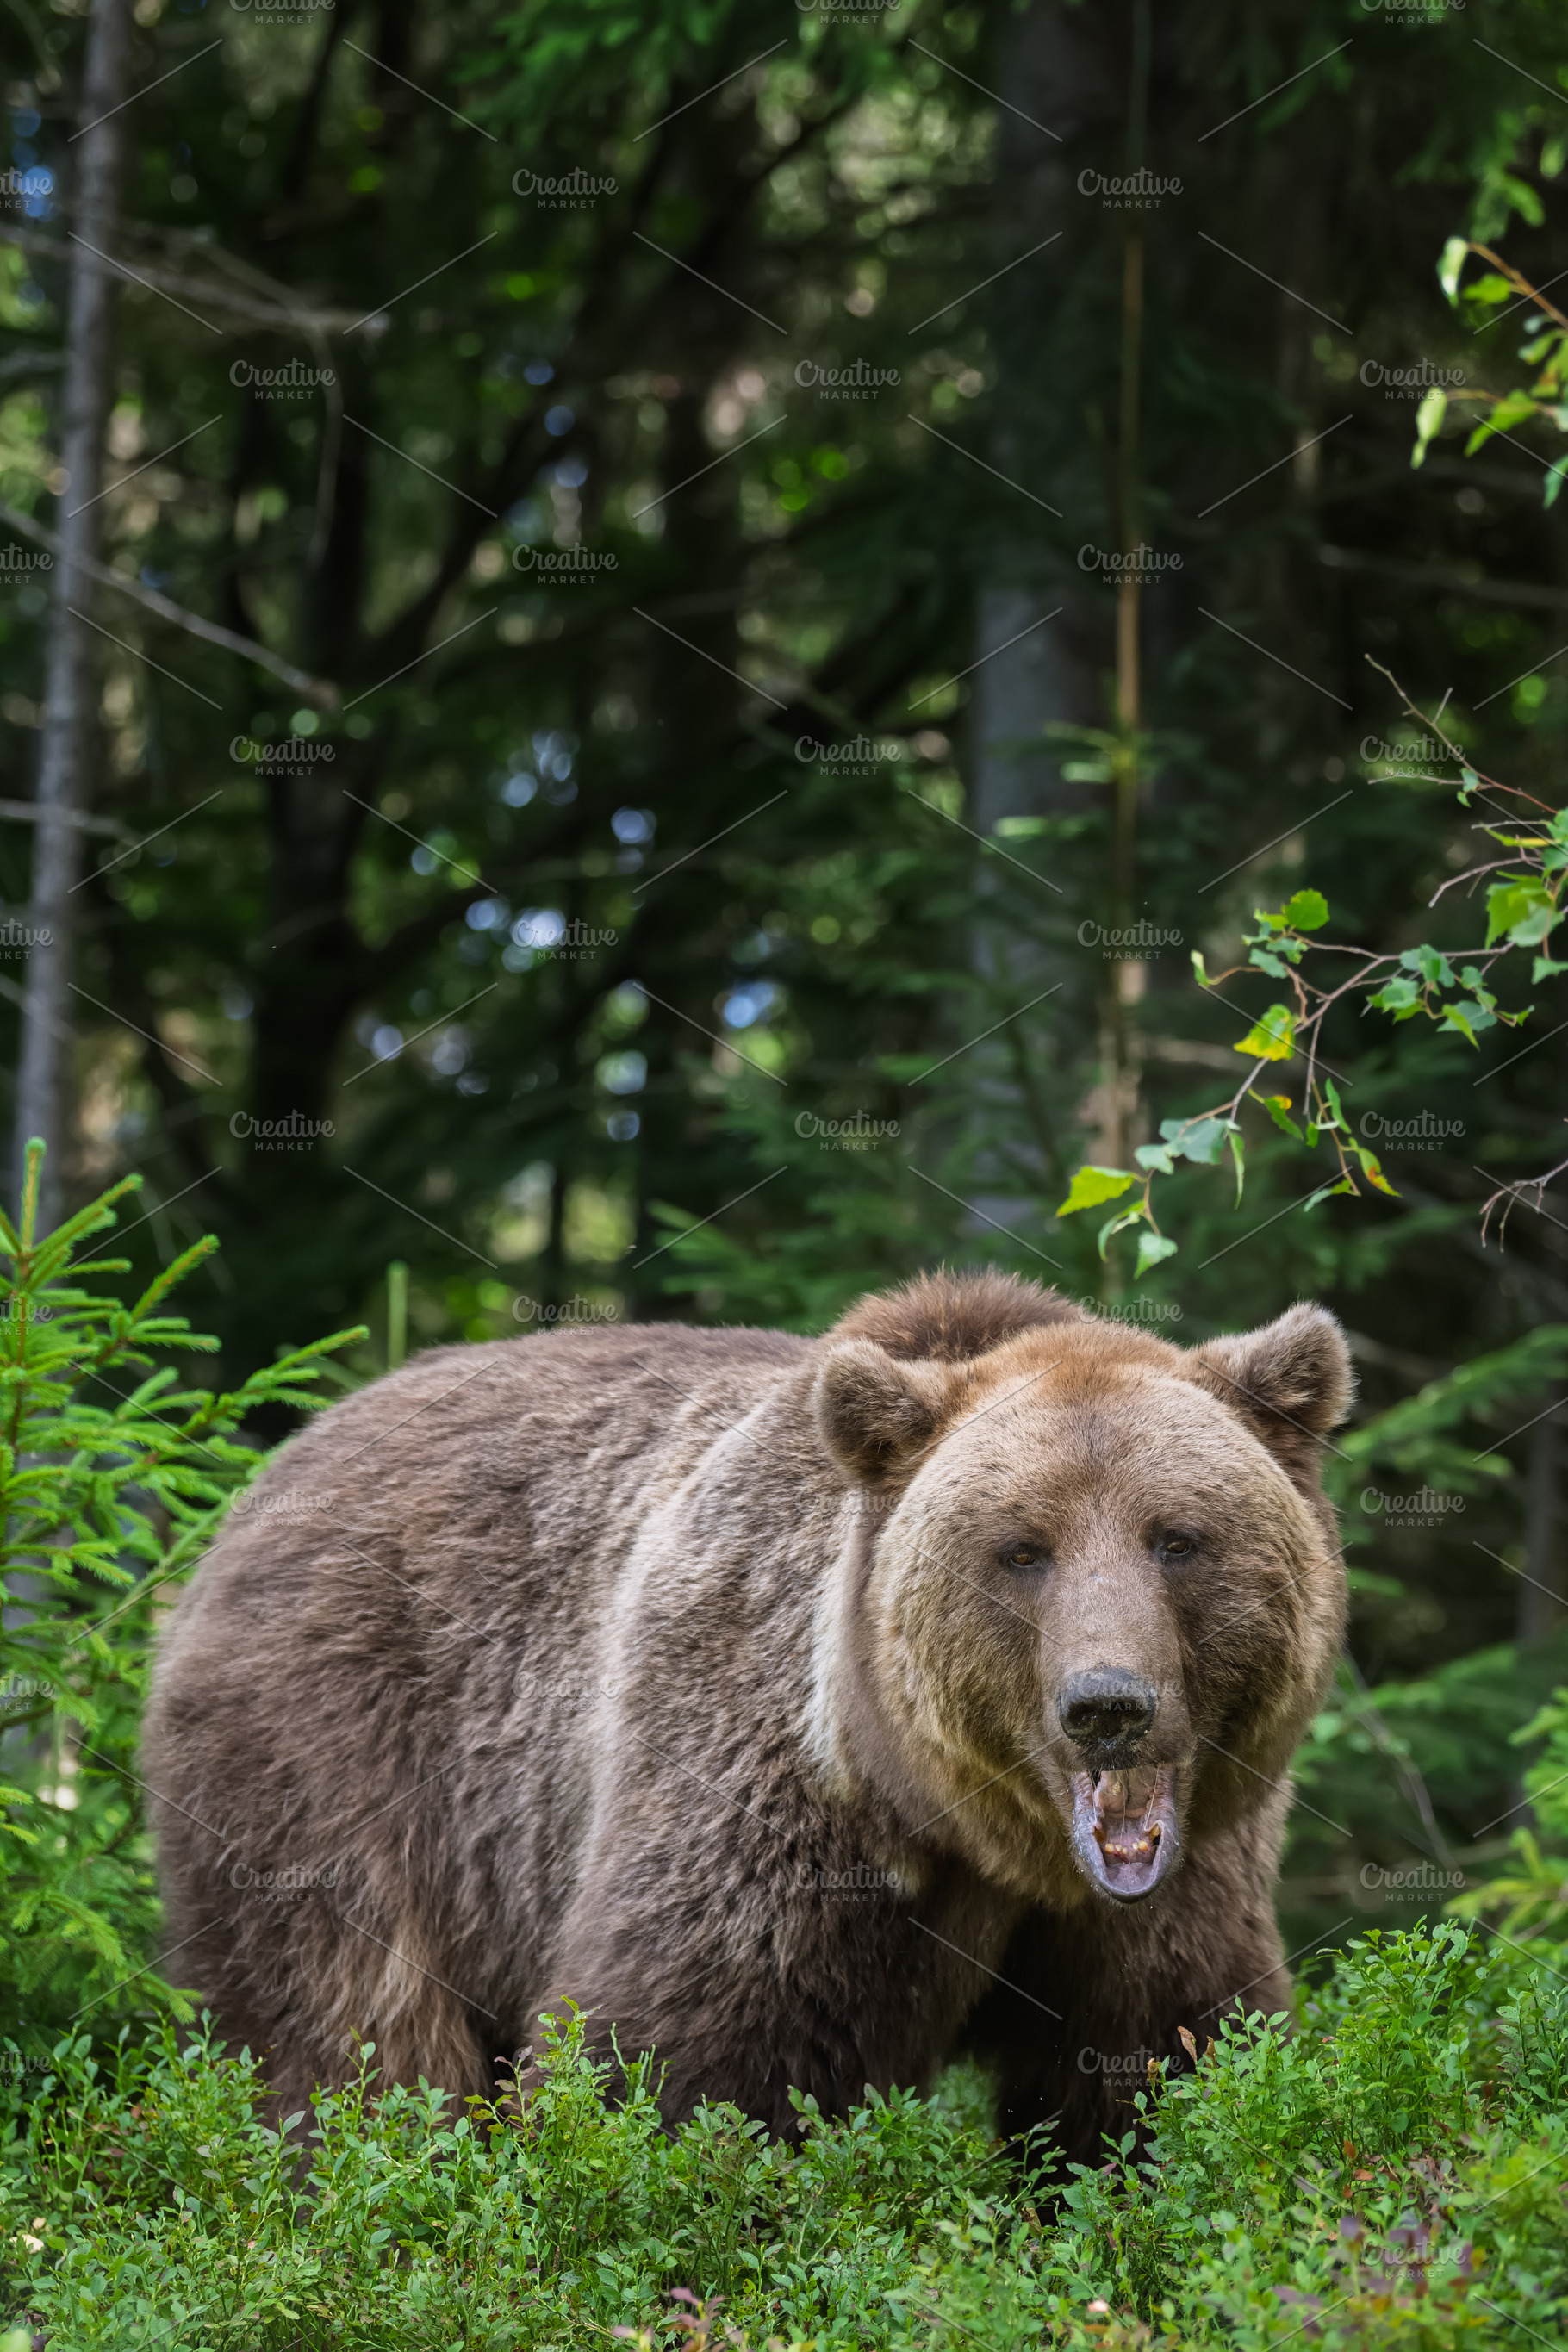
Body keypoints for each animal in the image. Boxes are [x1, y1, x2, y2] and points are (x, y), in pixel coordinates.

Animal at [141, 1269, 1351, 2165]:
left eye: (1175, 1537)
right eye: (1021, 1549)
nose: (1106, 1705)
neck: (977, 1835)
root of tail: (270, 1471)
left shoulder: (1181, 1881)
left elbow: (1152, 2065)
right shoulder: (767, 1792)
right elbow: (681, 2064)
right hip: (340, 1748)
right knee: (350, 2025)